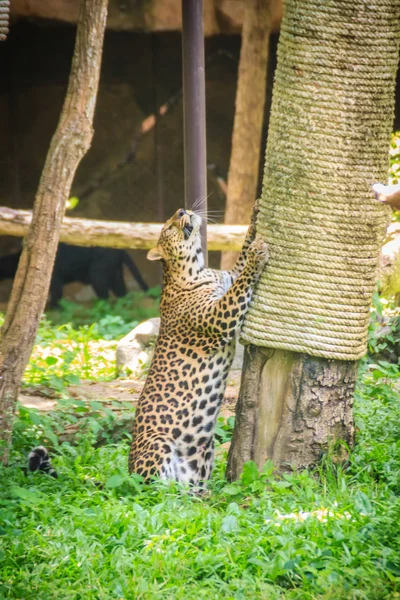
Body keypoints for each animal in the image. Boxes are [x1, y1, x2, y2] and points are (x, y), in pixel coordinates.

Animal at [129, 203, 268, 488]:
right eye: (168, 227)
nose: (182, 210)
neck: (198, 268)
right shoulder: (220, 317)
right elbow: (242, 280)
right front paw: (257, 255)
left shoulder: (228, 280)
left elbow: (241, 257)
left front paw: (256, 212)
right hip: (157, 444)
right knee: (153, 489)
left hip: (203, 457)